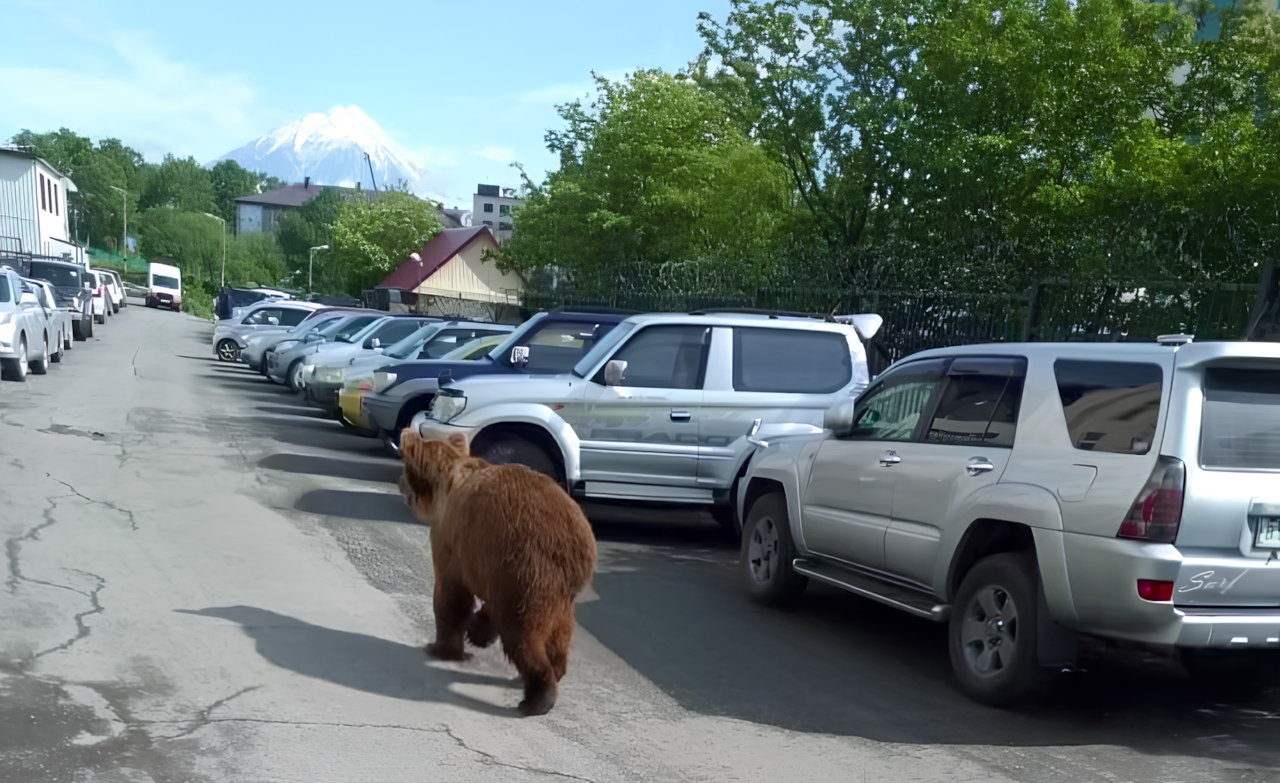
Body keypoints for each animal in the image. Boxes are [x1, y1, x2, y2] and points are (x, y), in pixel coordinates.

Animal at [396, 427, 596, 716]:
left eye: (404, 469)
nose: (399, 482)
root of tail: (579, 542)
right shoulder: (490, 566)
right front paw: (476, 632)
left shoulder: (455, 543)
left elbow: (451, 596)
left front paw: (440, 647)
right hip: (560, 590)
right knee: (560, 634)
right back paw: (555, 671)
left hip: (530, 568)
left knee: (522, 633)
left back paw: (536, 698)